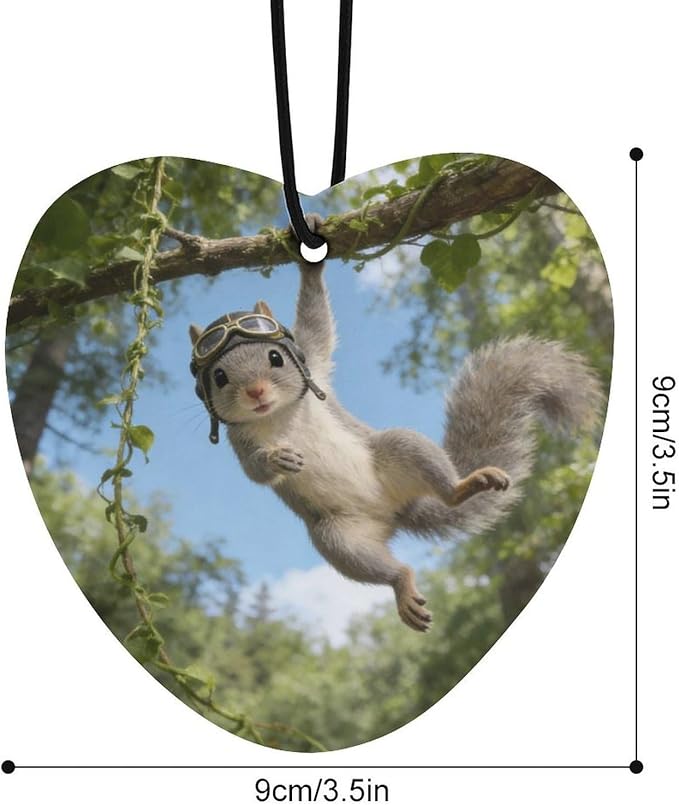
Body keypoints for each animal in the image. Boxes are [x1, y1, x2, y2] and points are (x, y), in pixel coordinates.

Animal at [189, 239, 603, 632]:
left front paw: (311, 262)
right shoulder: (241, 442)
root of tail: (395, 513)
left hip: (400, 447)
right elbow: (254, 470)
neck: (277, 414)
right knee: (387, 569)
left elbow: (316, 324)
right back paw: (402, 584)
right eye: (219, 377)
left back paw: (464, 486)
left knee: (444, 489)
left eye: (275, 358)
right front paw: (278, 458)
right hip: (338, 537)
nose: (255, 392)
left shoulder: (314, 365)